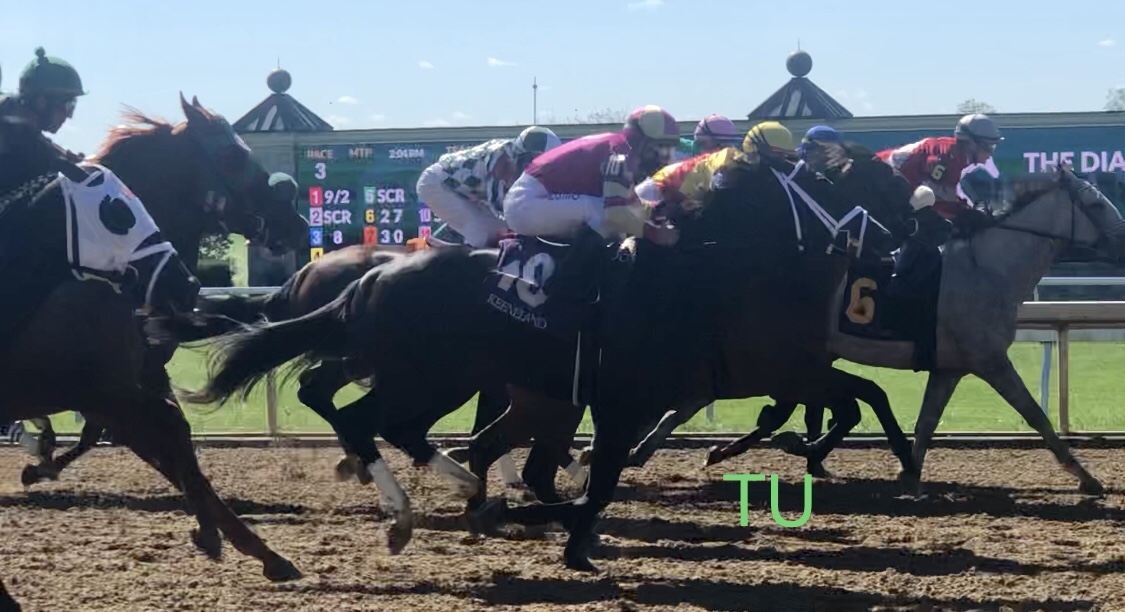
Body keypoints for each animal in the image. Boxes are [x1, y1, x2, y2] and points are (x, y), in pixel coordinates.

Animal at [20, 95, 312, 486]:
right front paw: (40, 462)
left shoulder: (143, 366)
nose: (297, 225)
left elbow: (110, 429)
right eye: (232, 157)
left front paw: (42, 461)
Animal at [625, 166, 1125, 497]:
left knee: (708, 399)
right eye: (1096, 204)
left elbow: (926, 423)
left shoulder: (950, 368)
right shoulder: (990, 361)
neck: (988, 268)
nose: (1121, 239)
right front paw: (1085, 476)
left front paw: (909, 470)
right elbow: (1036, 416)